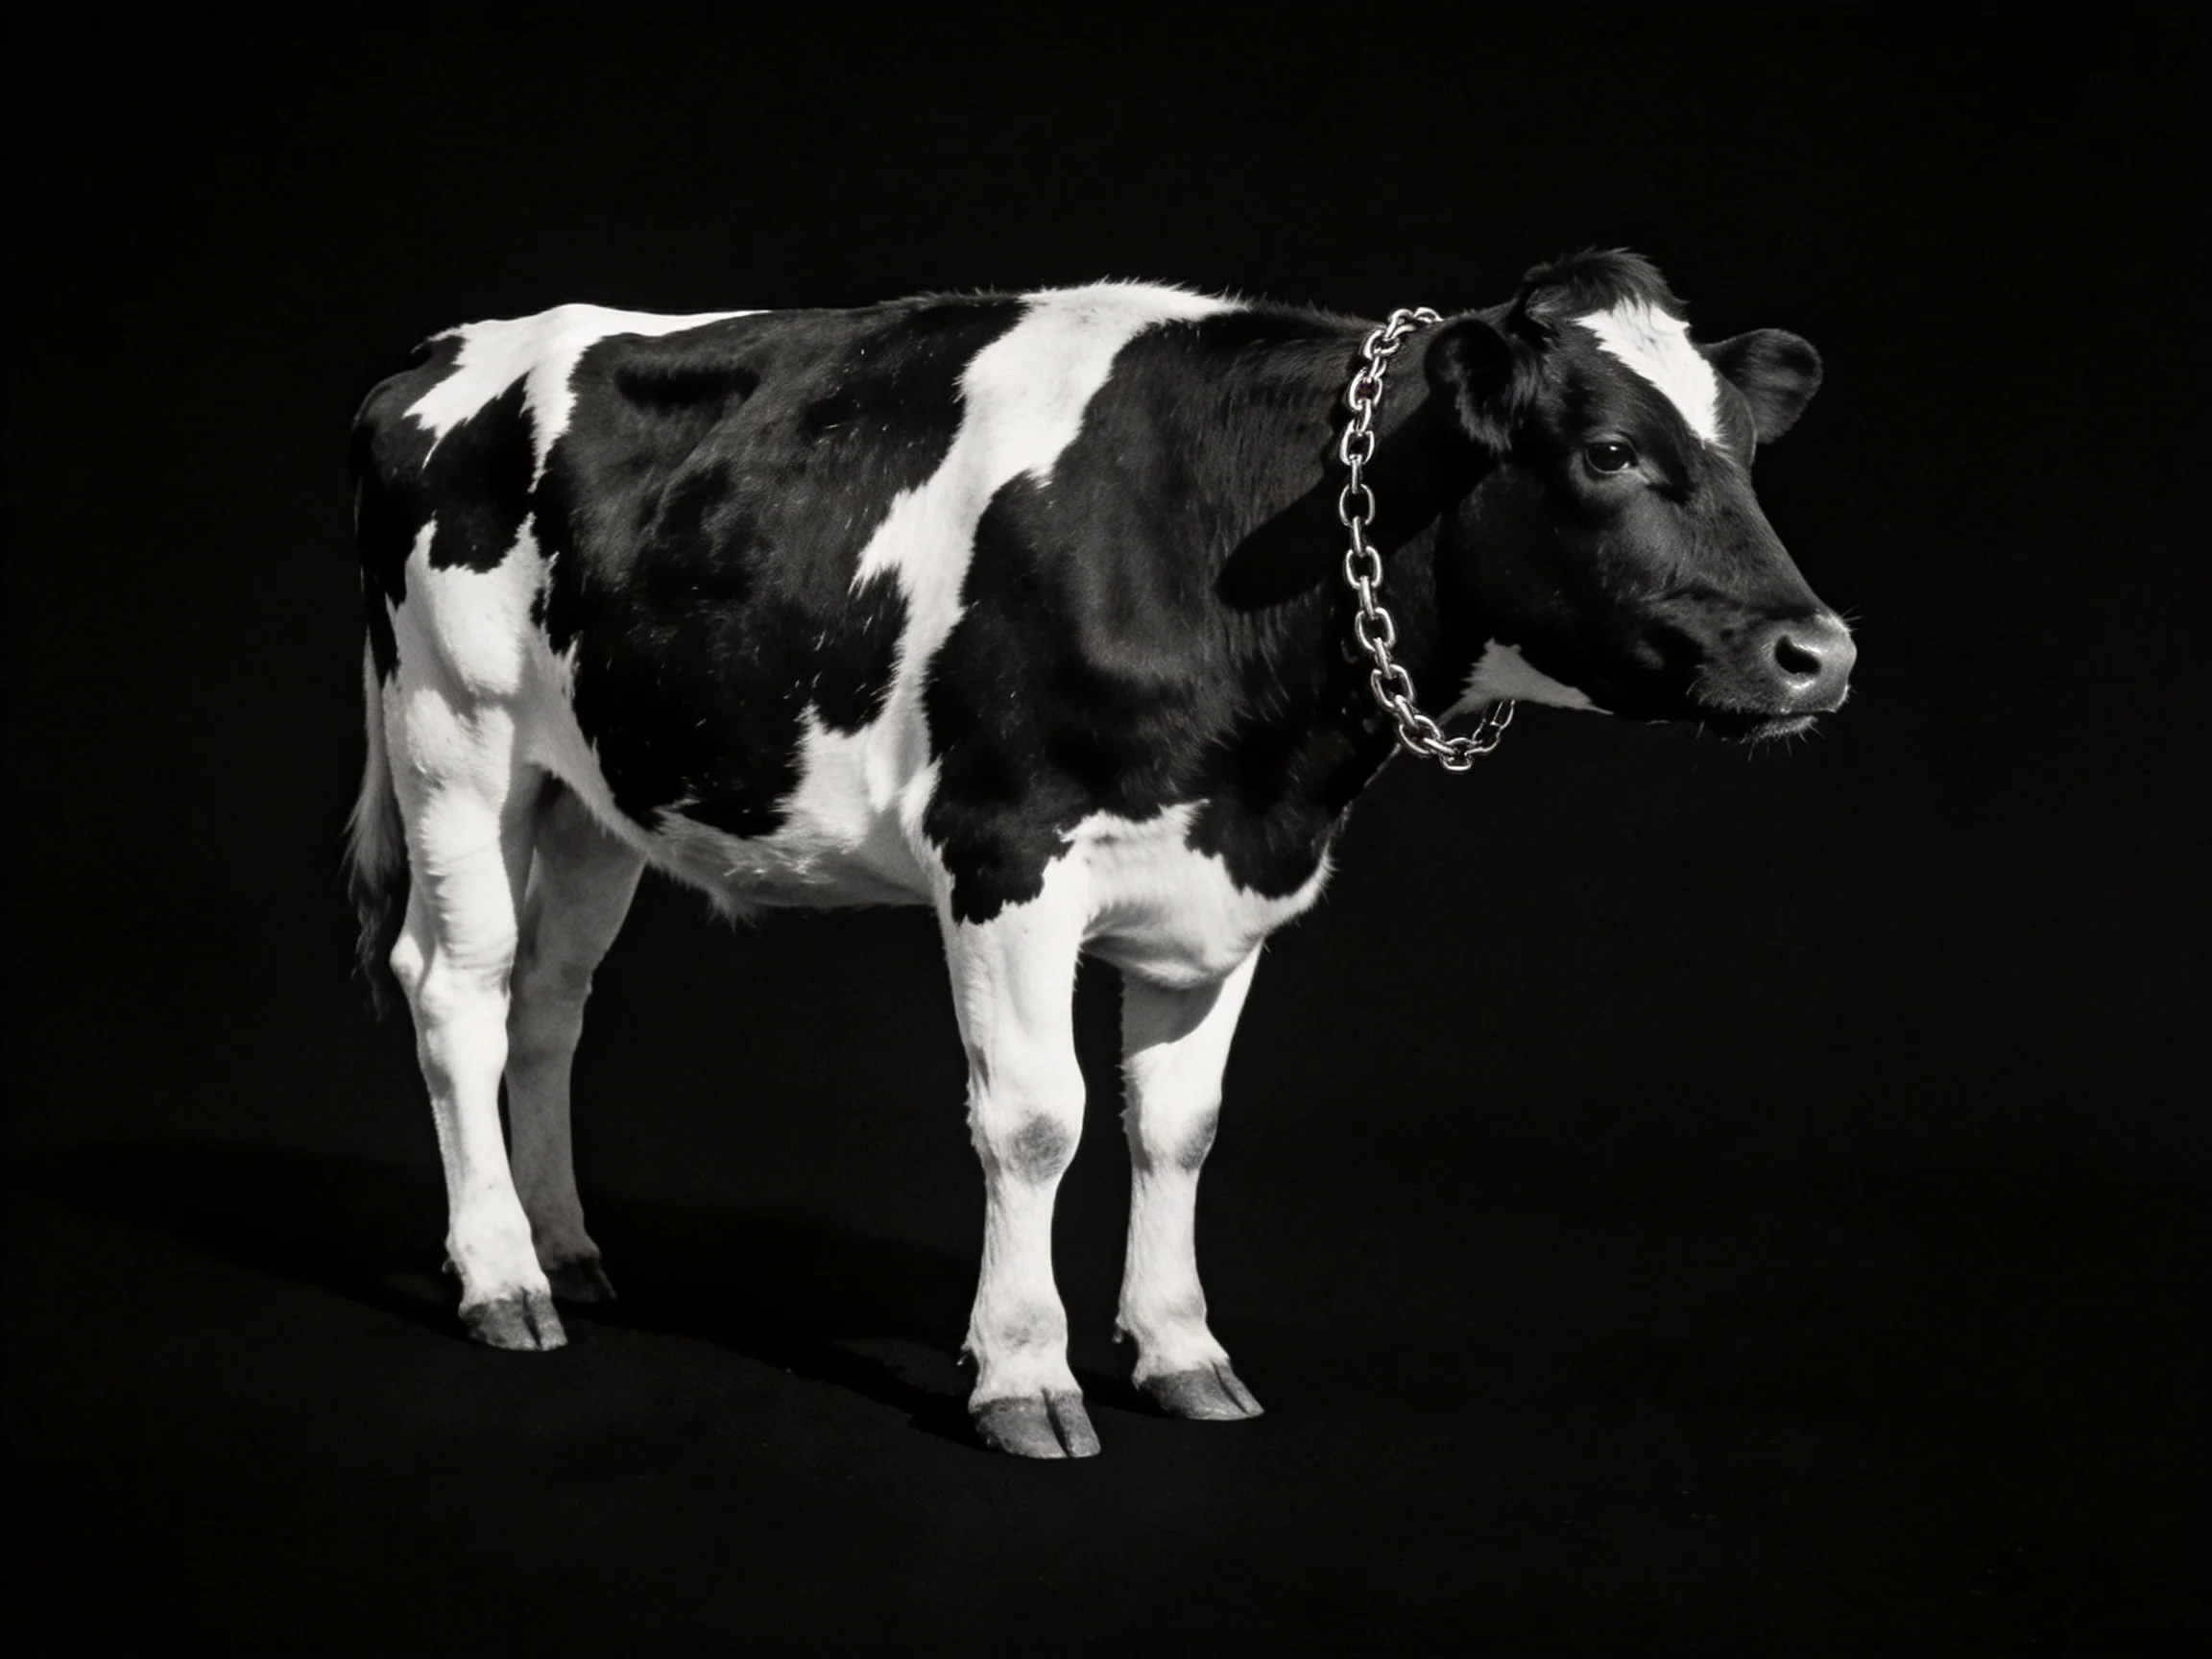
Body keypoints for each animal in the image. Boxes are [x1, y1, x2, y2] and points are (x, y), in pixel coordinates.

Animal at [347, 249, 1852, 1459]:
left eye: (1746, 450)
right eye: (1606, 452)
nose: (1821, 654)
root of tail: (442, 352)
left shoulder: (1224, 882)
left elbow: (1176, 1126)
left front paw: (1182, 1353)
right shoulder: (1000, 850)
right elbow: (1037, 1120)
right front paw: (1024, 1377)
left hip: (592, 786)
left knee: (549, 1001)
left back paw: (567, 1248)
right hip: (454, 736)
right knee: (458, 989)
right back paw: (500, 1280)